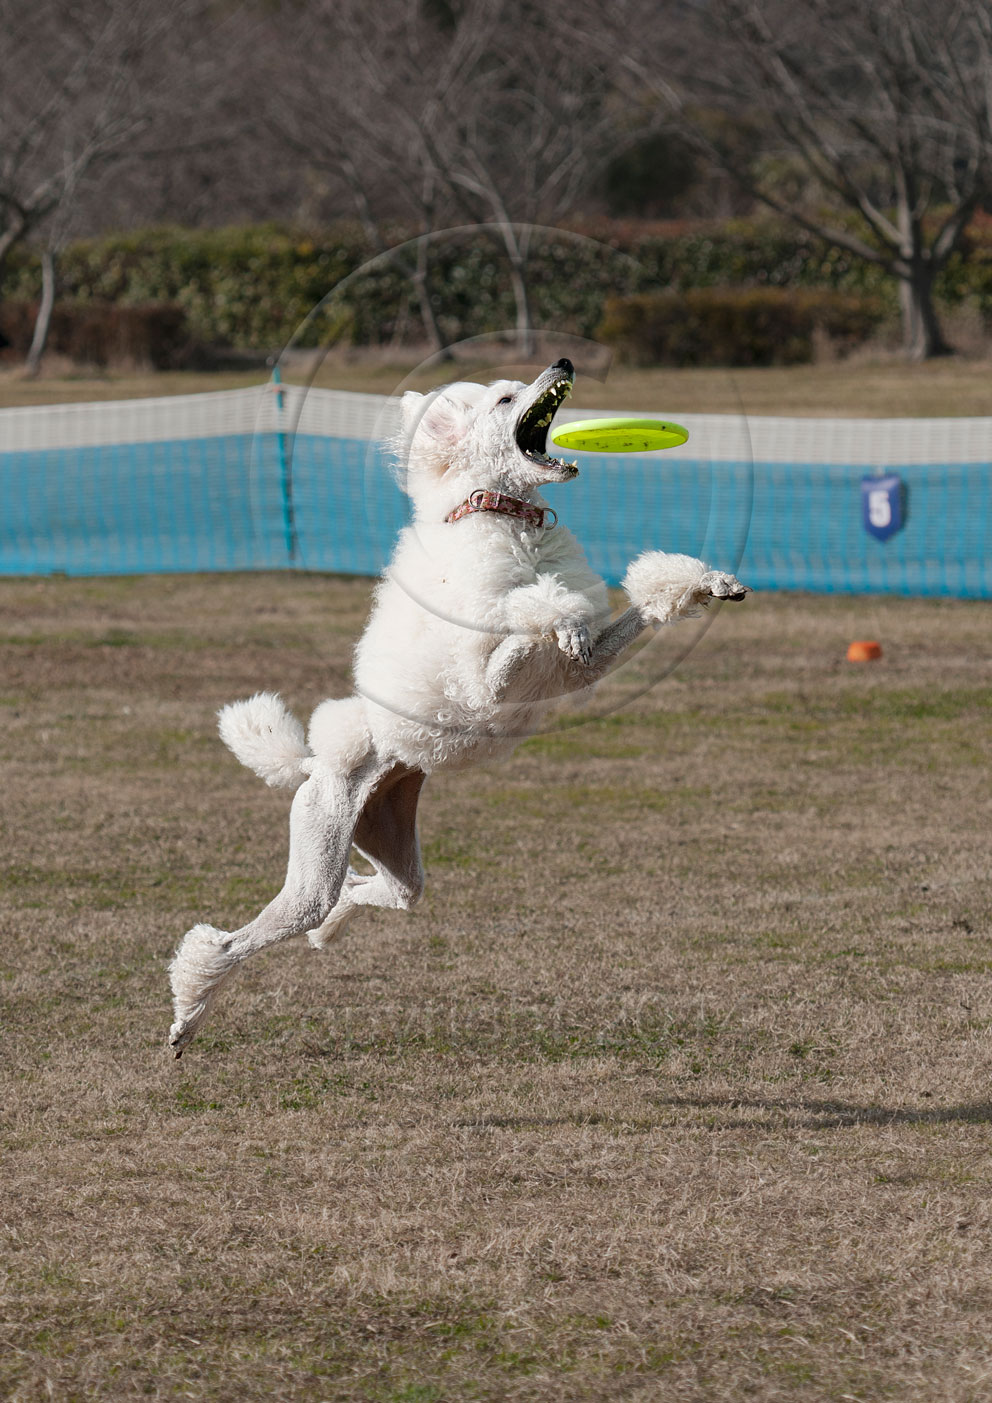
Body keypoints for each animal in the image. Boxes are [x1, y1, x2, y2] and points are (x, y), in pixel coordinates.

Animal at [169, 356, 746, 1055]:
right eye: (505, 399)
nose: (563, 363)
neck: (504, 516)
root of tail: (316, 764)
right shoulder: (486, 680)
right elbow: (525, 620)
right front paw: (552, 613)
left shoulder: (579, 669)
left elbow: (621, 617)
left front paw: (701, 584)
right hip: (318, 844)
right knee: (251, 933)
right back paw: (189, 1012)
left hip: (387, 840)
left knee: (381, 892)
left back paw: (332, 927)